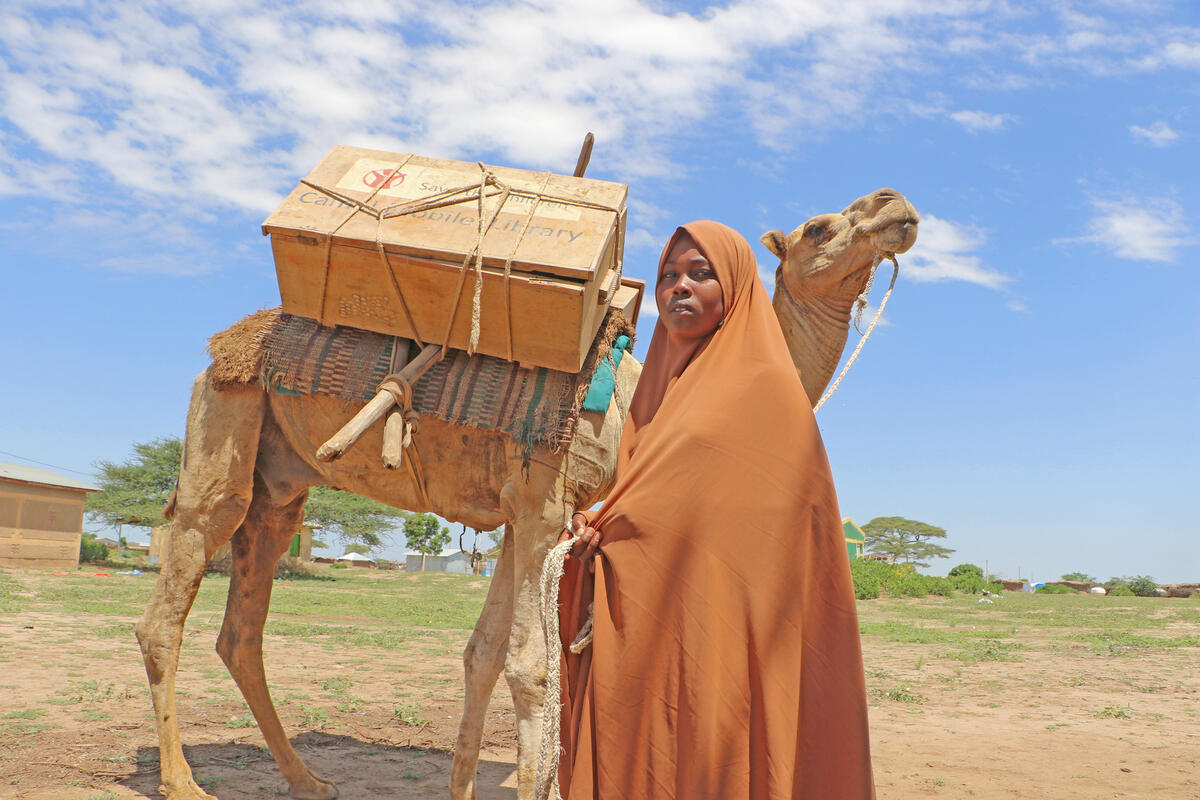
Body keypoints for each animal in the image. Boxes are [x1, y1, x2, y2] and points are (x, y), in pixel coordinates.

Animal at [134, 188, 918, 800]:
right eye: (819, 227)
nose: (895, 206)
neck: (643, 405)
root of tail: (220, 349)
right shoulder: (544, 507)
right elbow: (531, 668)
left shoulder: (521, 517)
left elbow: (483, 654)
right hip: (224, 435)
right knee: (169, 602)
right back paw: (183, 781)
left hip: (281, 488)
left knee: (242, 630)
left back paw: (307, 778)